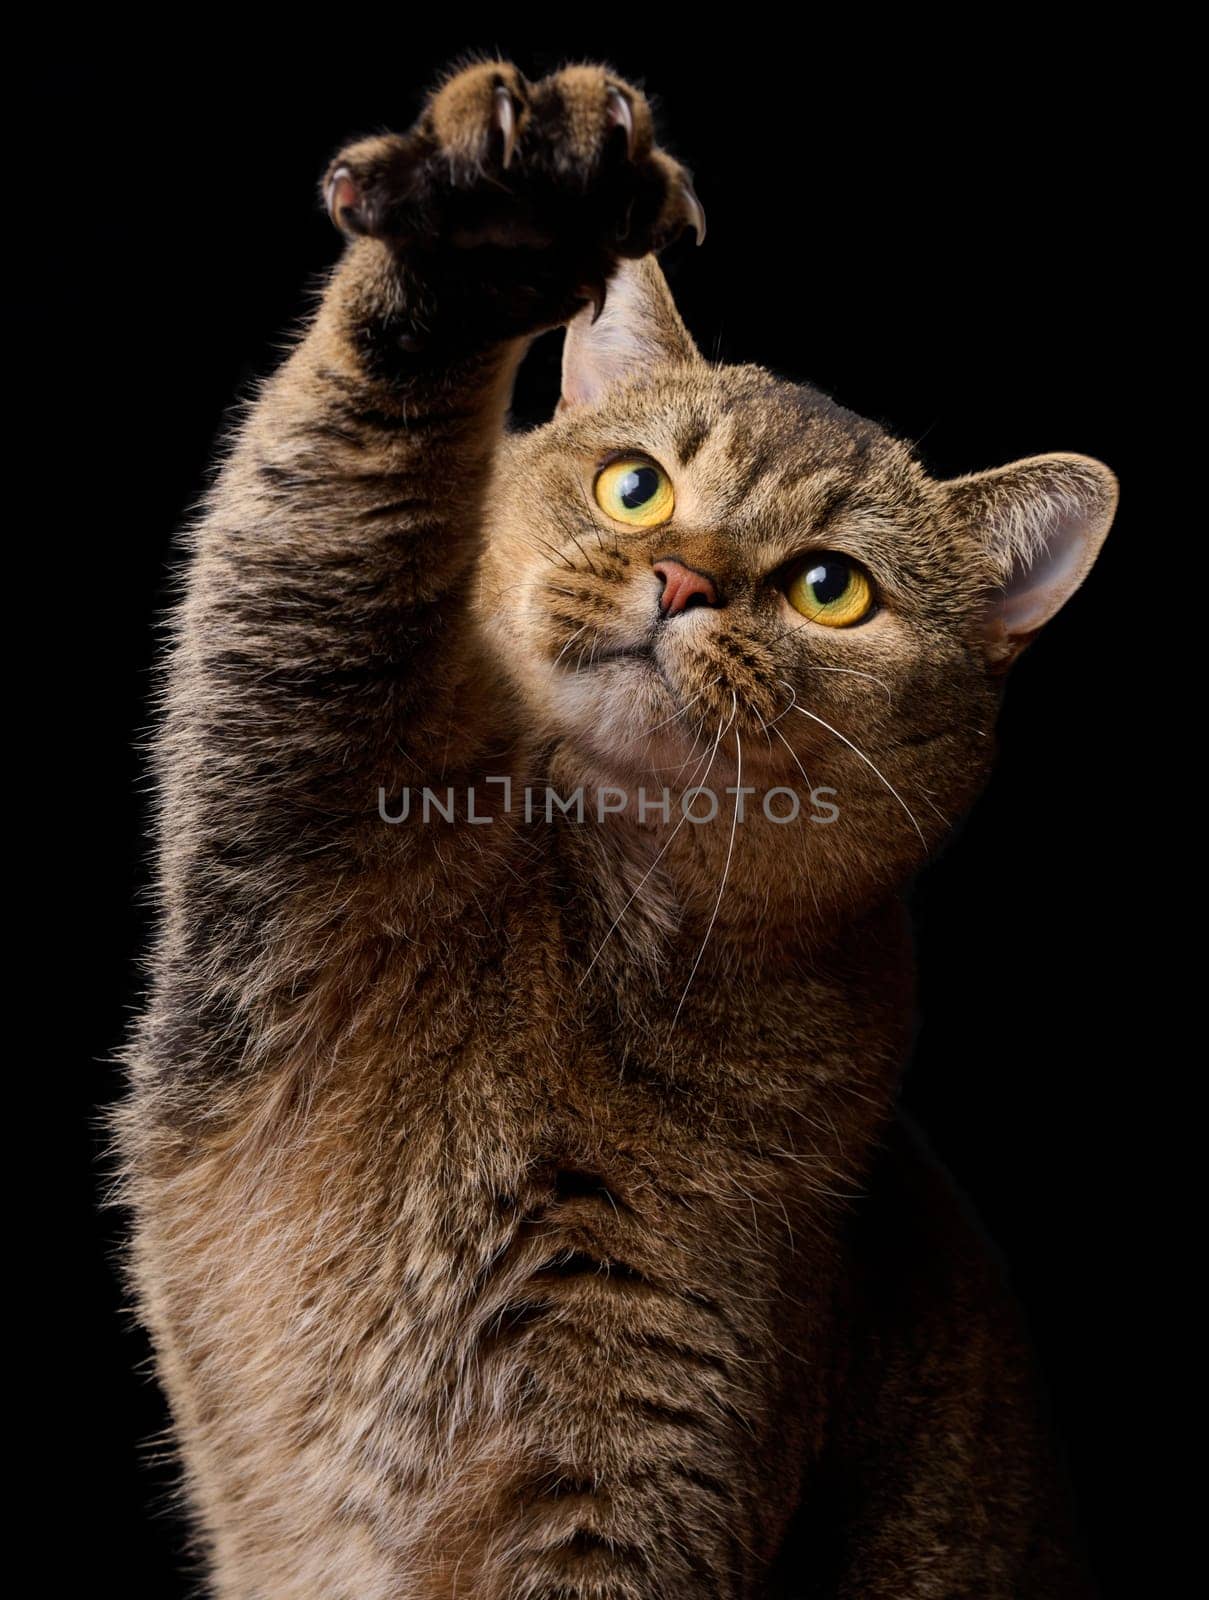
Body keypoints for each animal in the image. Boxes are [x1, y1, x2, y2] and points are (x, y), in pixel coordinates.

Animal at [118, 56, 1119, 1600]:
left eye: (831, 588)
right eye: (635, 485)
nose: (682, 581)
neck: (601, 916)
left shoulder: (632, 1442)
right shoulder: (287, 779)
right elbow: (336, 488)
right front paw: (492, 225)